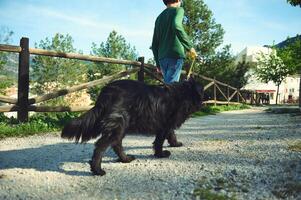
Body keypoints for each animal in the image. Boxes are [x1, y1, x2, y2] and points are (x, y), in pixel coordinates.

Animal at [60, 77, 202, 175]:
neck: (182, 93)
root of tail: (106, 91)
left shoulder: (167, 125)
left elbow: (171, 134)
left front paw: (175, 144)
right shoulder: (165, 125)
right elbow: (160, 141)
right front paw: (161, 154)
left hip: (121, 126)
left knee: (116, 144)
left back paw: (125, 159)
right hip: (119, 123)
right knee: (101, 146)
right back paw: (97, 170)